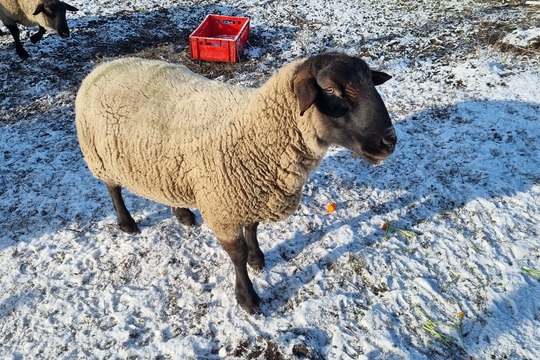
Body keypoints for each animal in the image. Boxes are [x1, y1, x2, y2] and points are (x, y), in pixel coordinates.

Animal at [75, 52, 396, 314]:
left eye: (371, 84)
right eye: (330, 90)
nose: (389, 141)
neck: (255, 131)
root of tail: (104, 65)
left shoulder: (252, 192)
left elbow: (252, 229)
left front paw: (257, 259)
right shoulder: (224, 208)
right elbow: (236, 255)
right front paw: (247, 298)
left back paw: (183, 213)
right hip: (100, 155)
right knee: (113, 188)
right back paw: (127, 223)